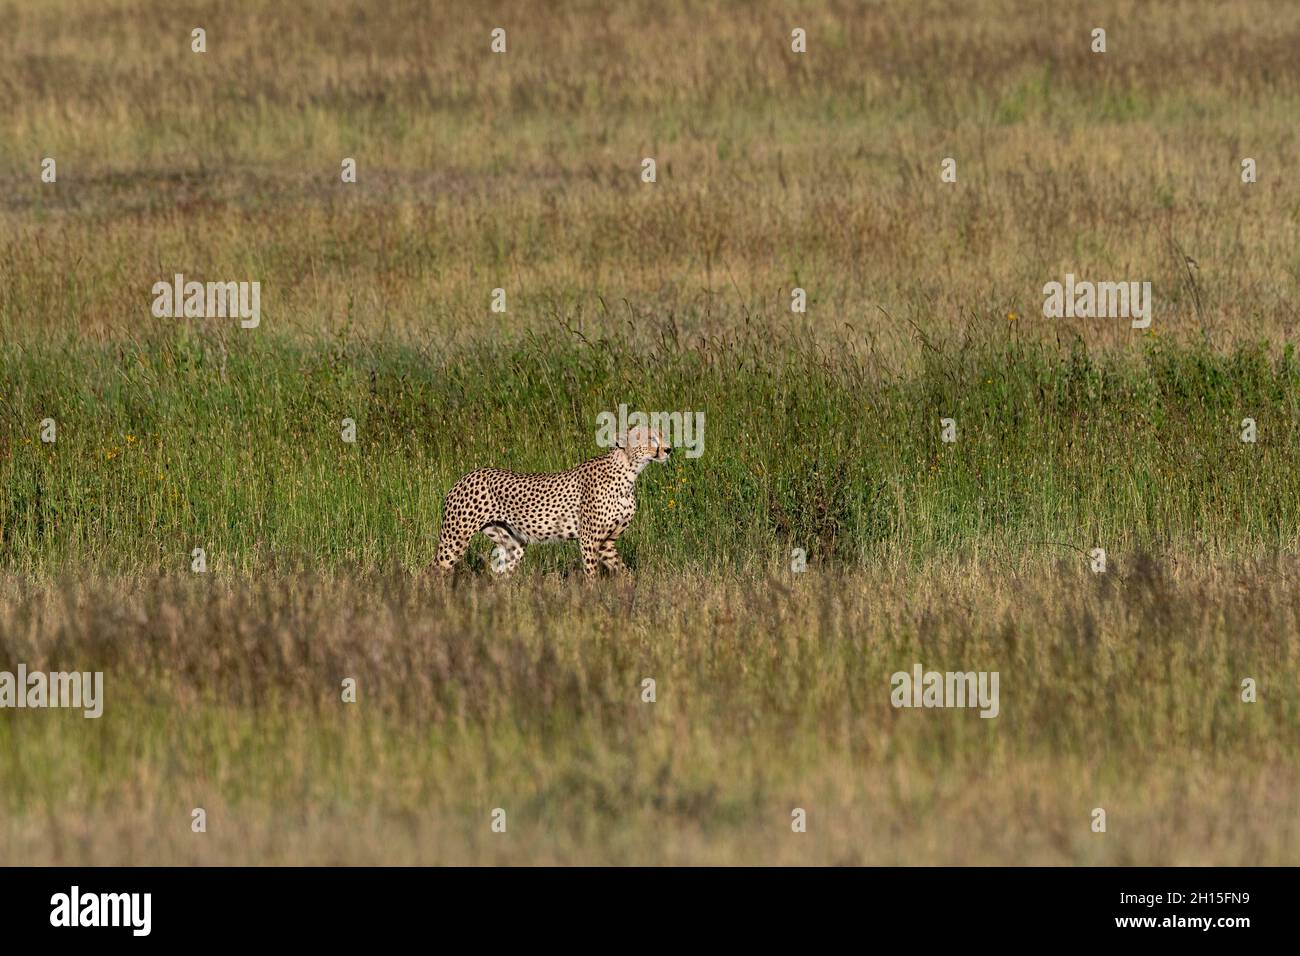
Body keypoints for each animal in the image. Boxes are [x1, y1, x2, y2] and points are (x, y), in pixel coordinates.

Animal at [441, 429, 676, 580]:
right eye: (651, 438)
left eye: (662, 435)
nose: (668, 449)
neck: (629, 472)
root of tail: (466, 476)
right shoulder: (589, 540)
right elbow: (591, 574)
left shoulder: (607, 542)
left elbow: (622, 569)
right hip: (455, 539)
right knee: (437, 570)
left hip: (513, 544)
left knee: (500, 576)